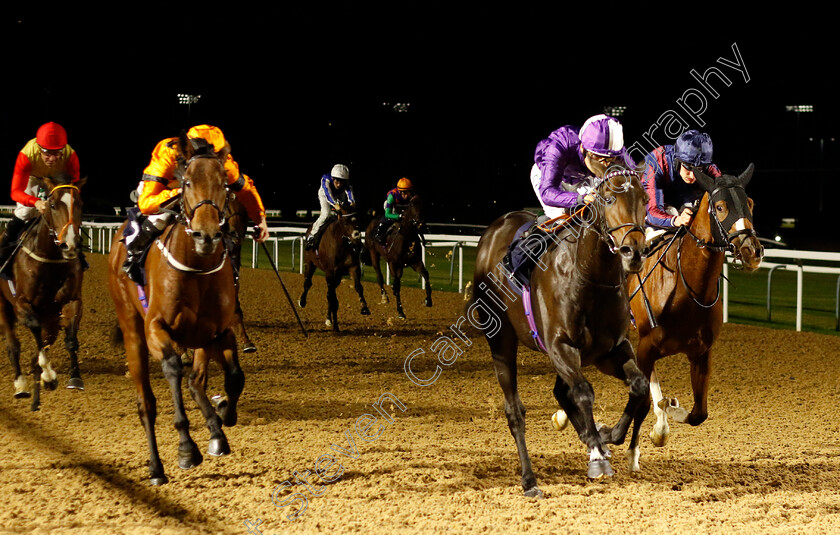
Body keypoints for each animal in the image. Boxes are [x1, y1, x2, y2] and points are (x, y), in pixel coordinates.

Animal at [0, 176, 85, 410]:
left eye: (80, 204)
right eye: (53, 205)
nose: (69, 244)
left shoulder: (71, 301)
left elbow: (69, 338)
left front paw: (75, 378)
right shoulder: (21, 304)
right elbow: (36, 331)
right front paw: (48, 374)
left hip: (51, 315)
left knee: (50, 336)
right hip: (3, 306)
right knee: (13, 346)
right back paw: (21, 384)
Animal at [108, 134, 243, 486]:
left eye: (224, 183)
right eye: (187, 182)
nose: (207, 235)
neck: (196, 265)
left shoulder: (217, 332)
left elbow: (234, 377)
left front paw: (224, 415)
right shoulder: (157, 329)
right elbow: (172, 370)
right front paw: (186, 448)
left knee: (196, 382)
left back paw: (215, 431)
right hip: (132, 331)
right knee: (146, 404)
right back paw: (156, 468)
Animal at [300, 201, 370, 330]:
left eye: (358, 221)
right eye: (346, 222)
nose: (357, 243)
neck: (342, 244)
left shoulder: (353, 267)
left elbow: (358, 286)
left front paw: (364, 308)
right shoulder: (330, 273)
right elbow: (333, 298)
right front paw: (335, 326)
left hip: (337, 277)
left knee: (328, 294)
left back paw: (329, 319)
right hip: (310, 263)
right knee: (307, 283)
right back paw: (302, 301)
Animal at [472, 168, 648, 498]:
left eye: (644, 199)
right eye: (608, 199)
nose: (634, 251)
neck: (589, 276)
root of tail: (495, 228)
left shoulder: (610, 350)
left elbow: (640, 386)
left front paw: (606, 435)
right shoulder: (560, 345)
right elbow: (584, 392)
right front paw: (597, 456)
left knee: (561, 391)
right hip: (501, 339)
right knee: (515, 410)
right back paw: (530, 481)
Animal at [628, 164, 764, 474]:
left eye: (750, 203)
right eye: (721, 207)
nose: (752, 251)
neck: (686, 286)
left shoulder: (701, 352)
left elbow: (698, 413)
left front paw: (668, 413)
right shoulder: (645, 346)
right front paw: (633, 454)